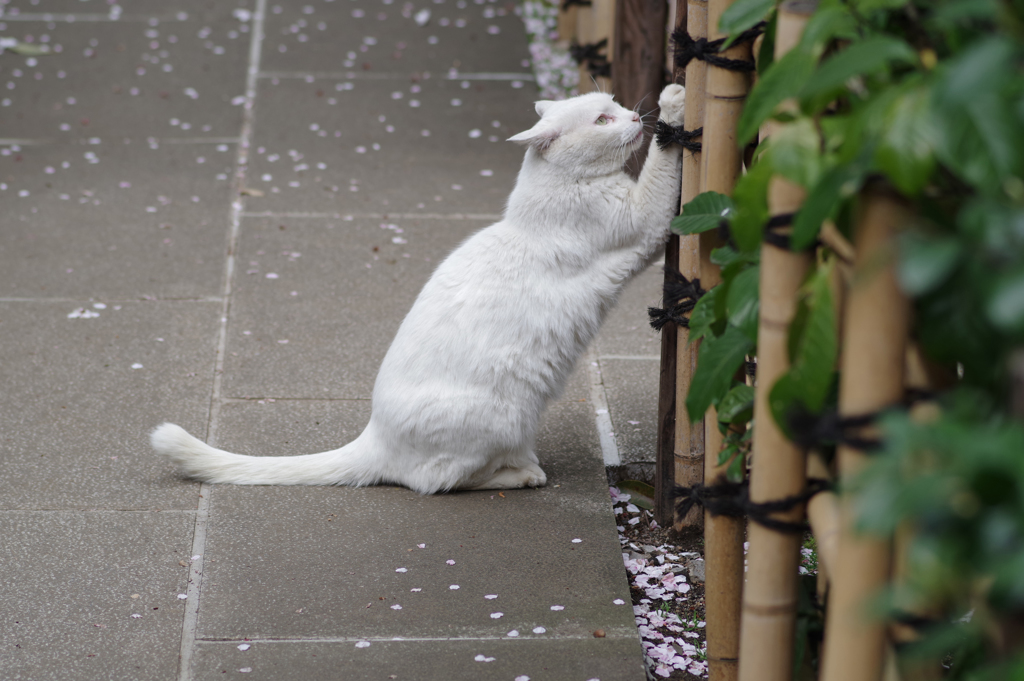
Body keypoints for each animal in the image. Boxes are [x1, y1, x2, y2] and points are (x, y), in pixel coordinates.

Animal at [151, 84, 688, 491]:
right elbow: (662, 170)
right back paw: (522, 475)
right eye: (603, 119)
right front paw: (675, 102)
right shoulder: (645, 225)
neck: (538, 204)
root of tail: (374, 436)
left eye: (615, 105)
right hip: (503, 417)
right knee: (437, 481)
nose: (634, 117)